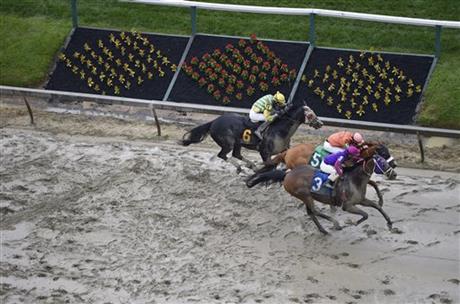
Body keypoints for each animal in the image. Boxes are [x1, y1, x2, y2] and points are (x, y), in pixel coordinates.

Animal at [178, 101, 322, 172]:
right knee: (223, 155)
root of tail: (214, 122)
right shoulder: (265, 152)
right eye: (310, 114)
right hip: (228, 143)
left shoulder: (284, 150)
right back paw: (240, 167)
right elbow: (269, 165)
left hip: (237, 144)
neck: (280, 130)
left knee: (236, 154)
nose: (320, 123)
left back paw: (250, 165)